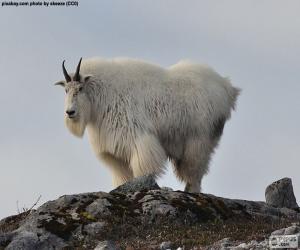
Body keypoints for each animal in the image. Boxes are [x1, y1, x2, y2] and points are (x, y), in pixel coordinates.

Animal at [55, 57, 240, 192]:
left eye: (80, 88)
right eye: (66, 90)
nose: (70, 112)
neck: (102, 94)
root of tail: (227, 88)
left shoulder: (138, 138)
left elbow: (142, 168)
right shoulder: (114, 151)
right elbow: (123, 176)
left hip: (199, 139)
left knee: (195, 170)